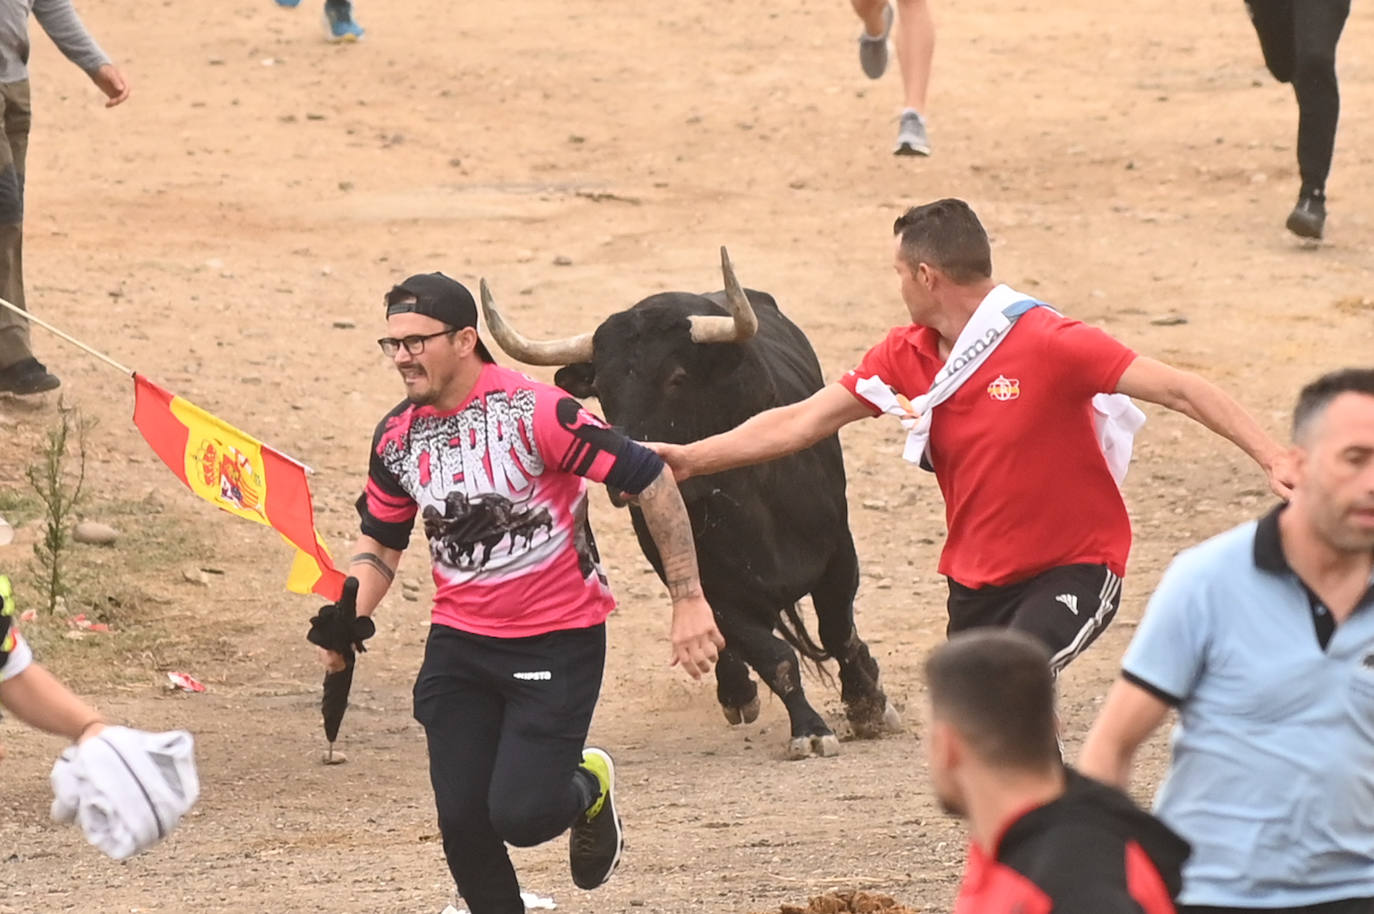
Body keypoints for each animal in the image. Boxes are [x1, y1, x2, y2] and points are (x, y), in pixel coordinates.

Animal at [483, 250, 901, 753]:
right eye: (601, 389)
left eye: (677, 378)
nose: (624, 474)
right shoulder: (717, 589)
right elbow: (773, 656)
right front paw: (810, 728)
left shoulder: (838, 553)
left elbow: (838, 632)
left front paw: (868, 704)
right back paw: (735, 691)